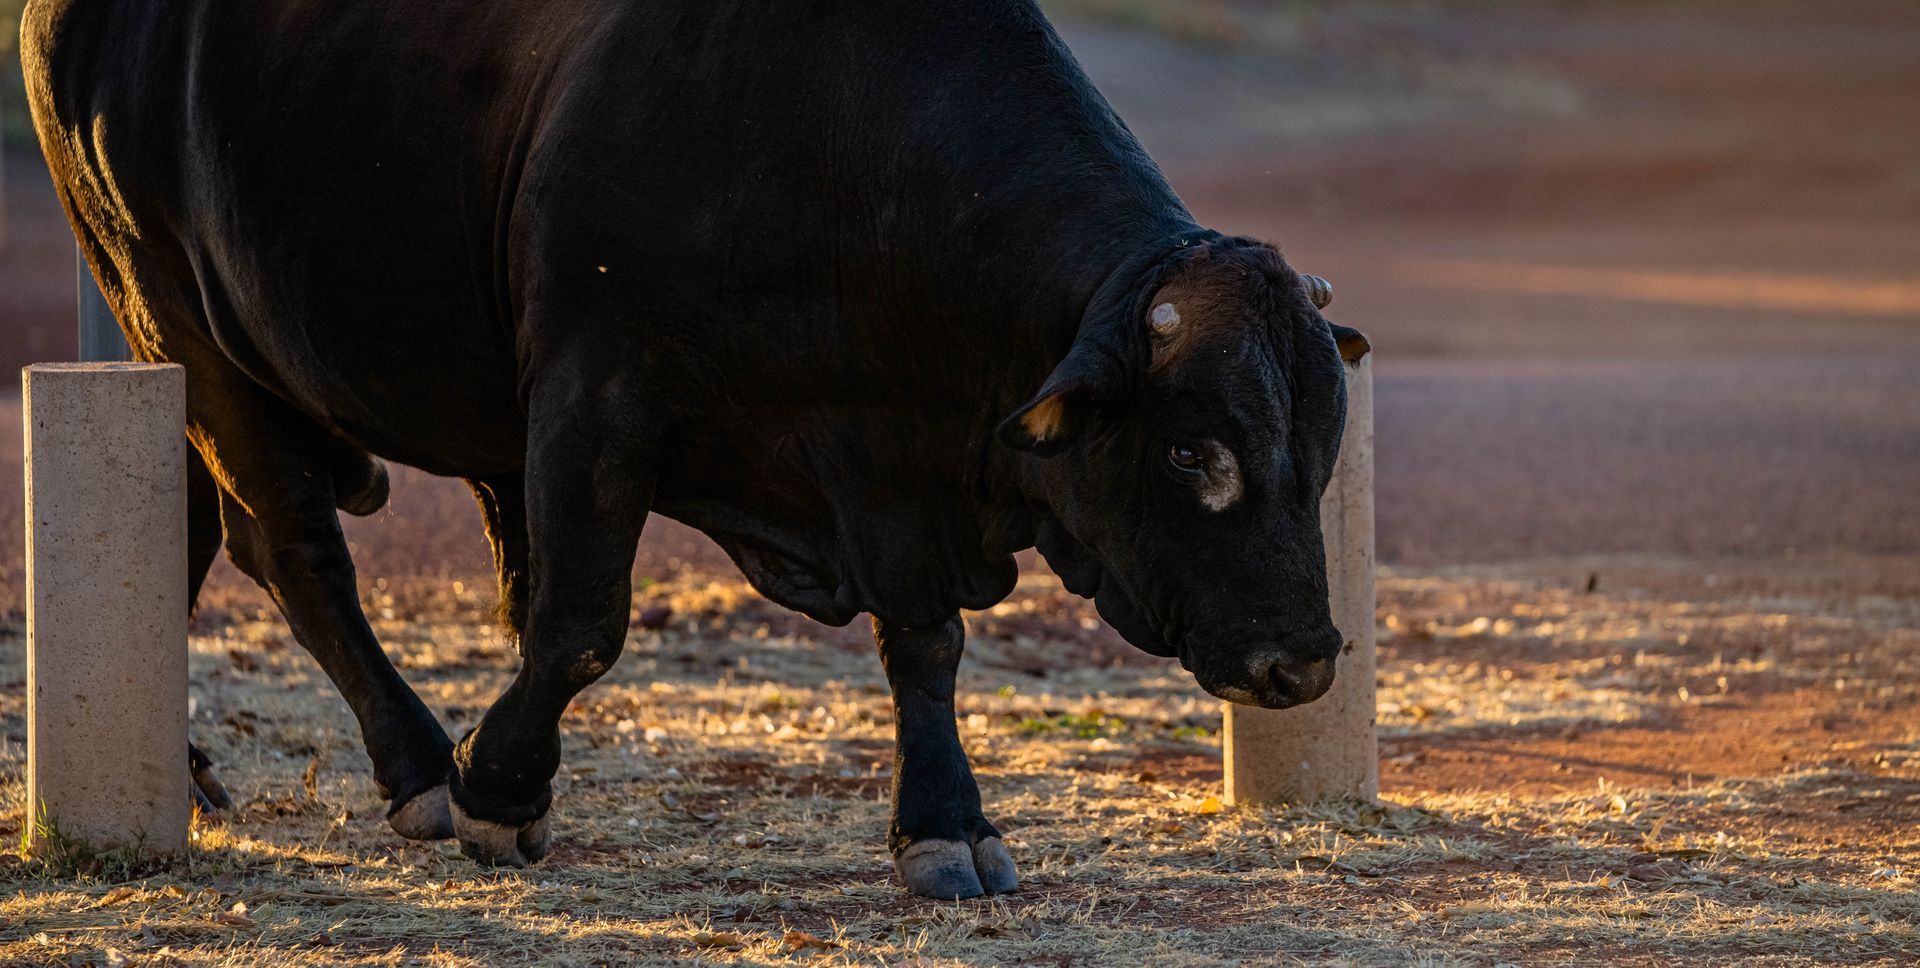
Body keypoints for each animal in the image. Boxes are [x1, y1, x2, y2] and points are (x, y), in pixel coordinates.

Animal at [22, 0, 1369, 898]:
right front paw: (499, 786)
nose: (1304, 660)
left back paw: (189, 765)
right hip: (172, 309)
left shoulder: (893, 474)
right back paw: (415, 766)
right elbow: (577, 624)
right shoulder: (593, 397)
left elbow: (926, 645)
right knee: (296, 551)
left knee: (197, 527)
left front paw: (945, 822)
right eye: (1194, 452)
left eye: (1325, 443)